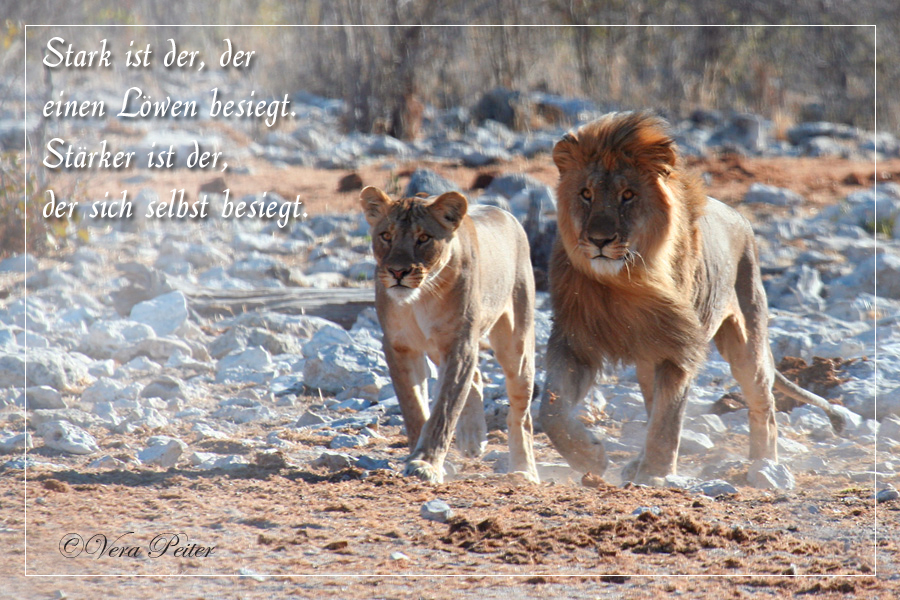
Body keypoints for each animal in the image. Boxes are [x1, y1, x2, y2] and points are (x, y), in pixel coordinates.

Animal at [360, 185, 540, 486]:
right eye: (386, 235)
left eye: (424, 238)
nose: (398, 271)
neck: (420, 298)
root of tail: (505, 213)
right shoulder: (399, 346)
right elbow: (414, 407)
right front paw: (419, 456)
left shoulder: (458, 345)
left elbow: (445, 408)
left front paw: (426, 464)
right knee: (476, 376)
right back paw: (472, 438)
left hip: (517, 343)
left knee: (521, 411)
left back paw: (525, 470)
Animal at [540, 112, 844, 486]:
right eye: (586, 194)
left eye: (628, 195)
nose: (599, 239)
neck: (623, 283)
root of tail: (740, 217)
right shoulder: (574, 341)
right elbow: (551, 410)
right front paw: (589, 456)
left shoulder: (677, 350)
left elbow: (668, 419)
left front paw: (655, 474)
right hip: (648, 359)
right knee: (650, 402)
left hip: (747, 342)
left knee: (764, 404)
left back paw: (764, 465)